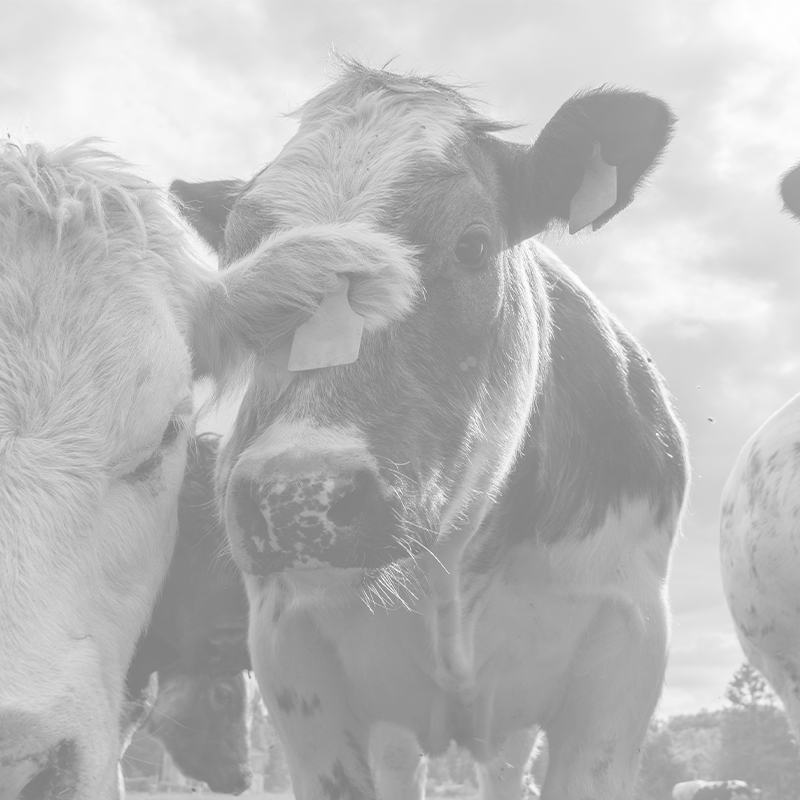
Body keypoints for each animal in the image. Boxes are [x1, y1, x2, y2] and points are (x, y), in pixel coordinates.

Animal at [171, 59, 689, 800]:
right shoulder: (291, 658)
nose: (294, 498)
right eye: (244, 275)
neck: (452, 573)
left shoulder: (627, 648)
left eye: (472, 245)